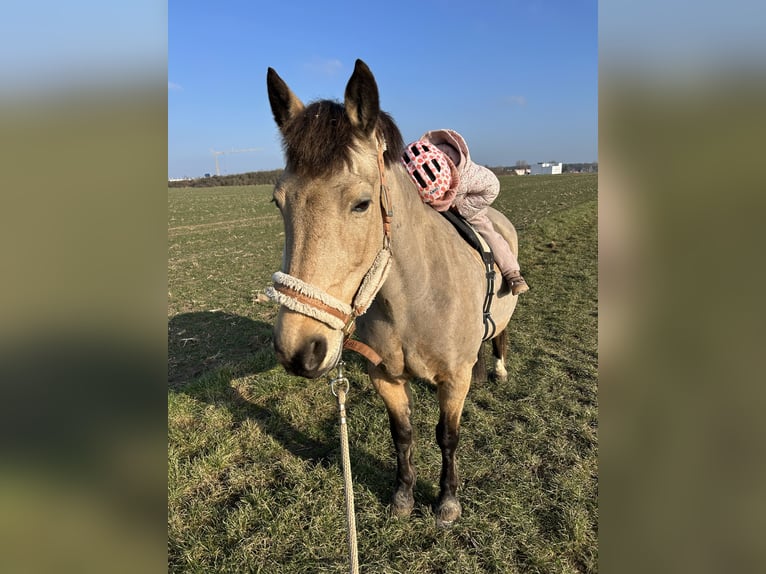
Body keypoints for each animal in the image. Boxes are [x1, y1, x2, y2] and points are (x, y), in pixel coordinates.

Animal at [266, 59, 519, 527]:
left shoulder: (452, 382)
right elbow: (402, 433)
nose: (298, 350)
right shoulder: (385, 376)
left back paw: (497, 369)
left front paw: (447, 501)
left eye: (362, 204)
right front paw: (403, 496)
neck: (415, 299)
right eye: (279, 202)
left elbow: (447, 436)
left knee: (500, 336)